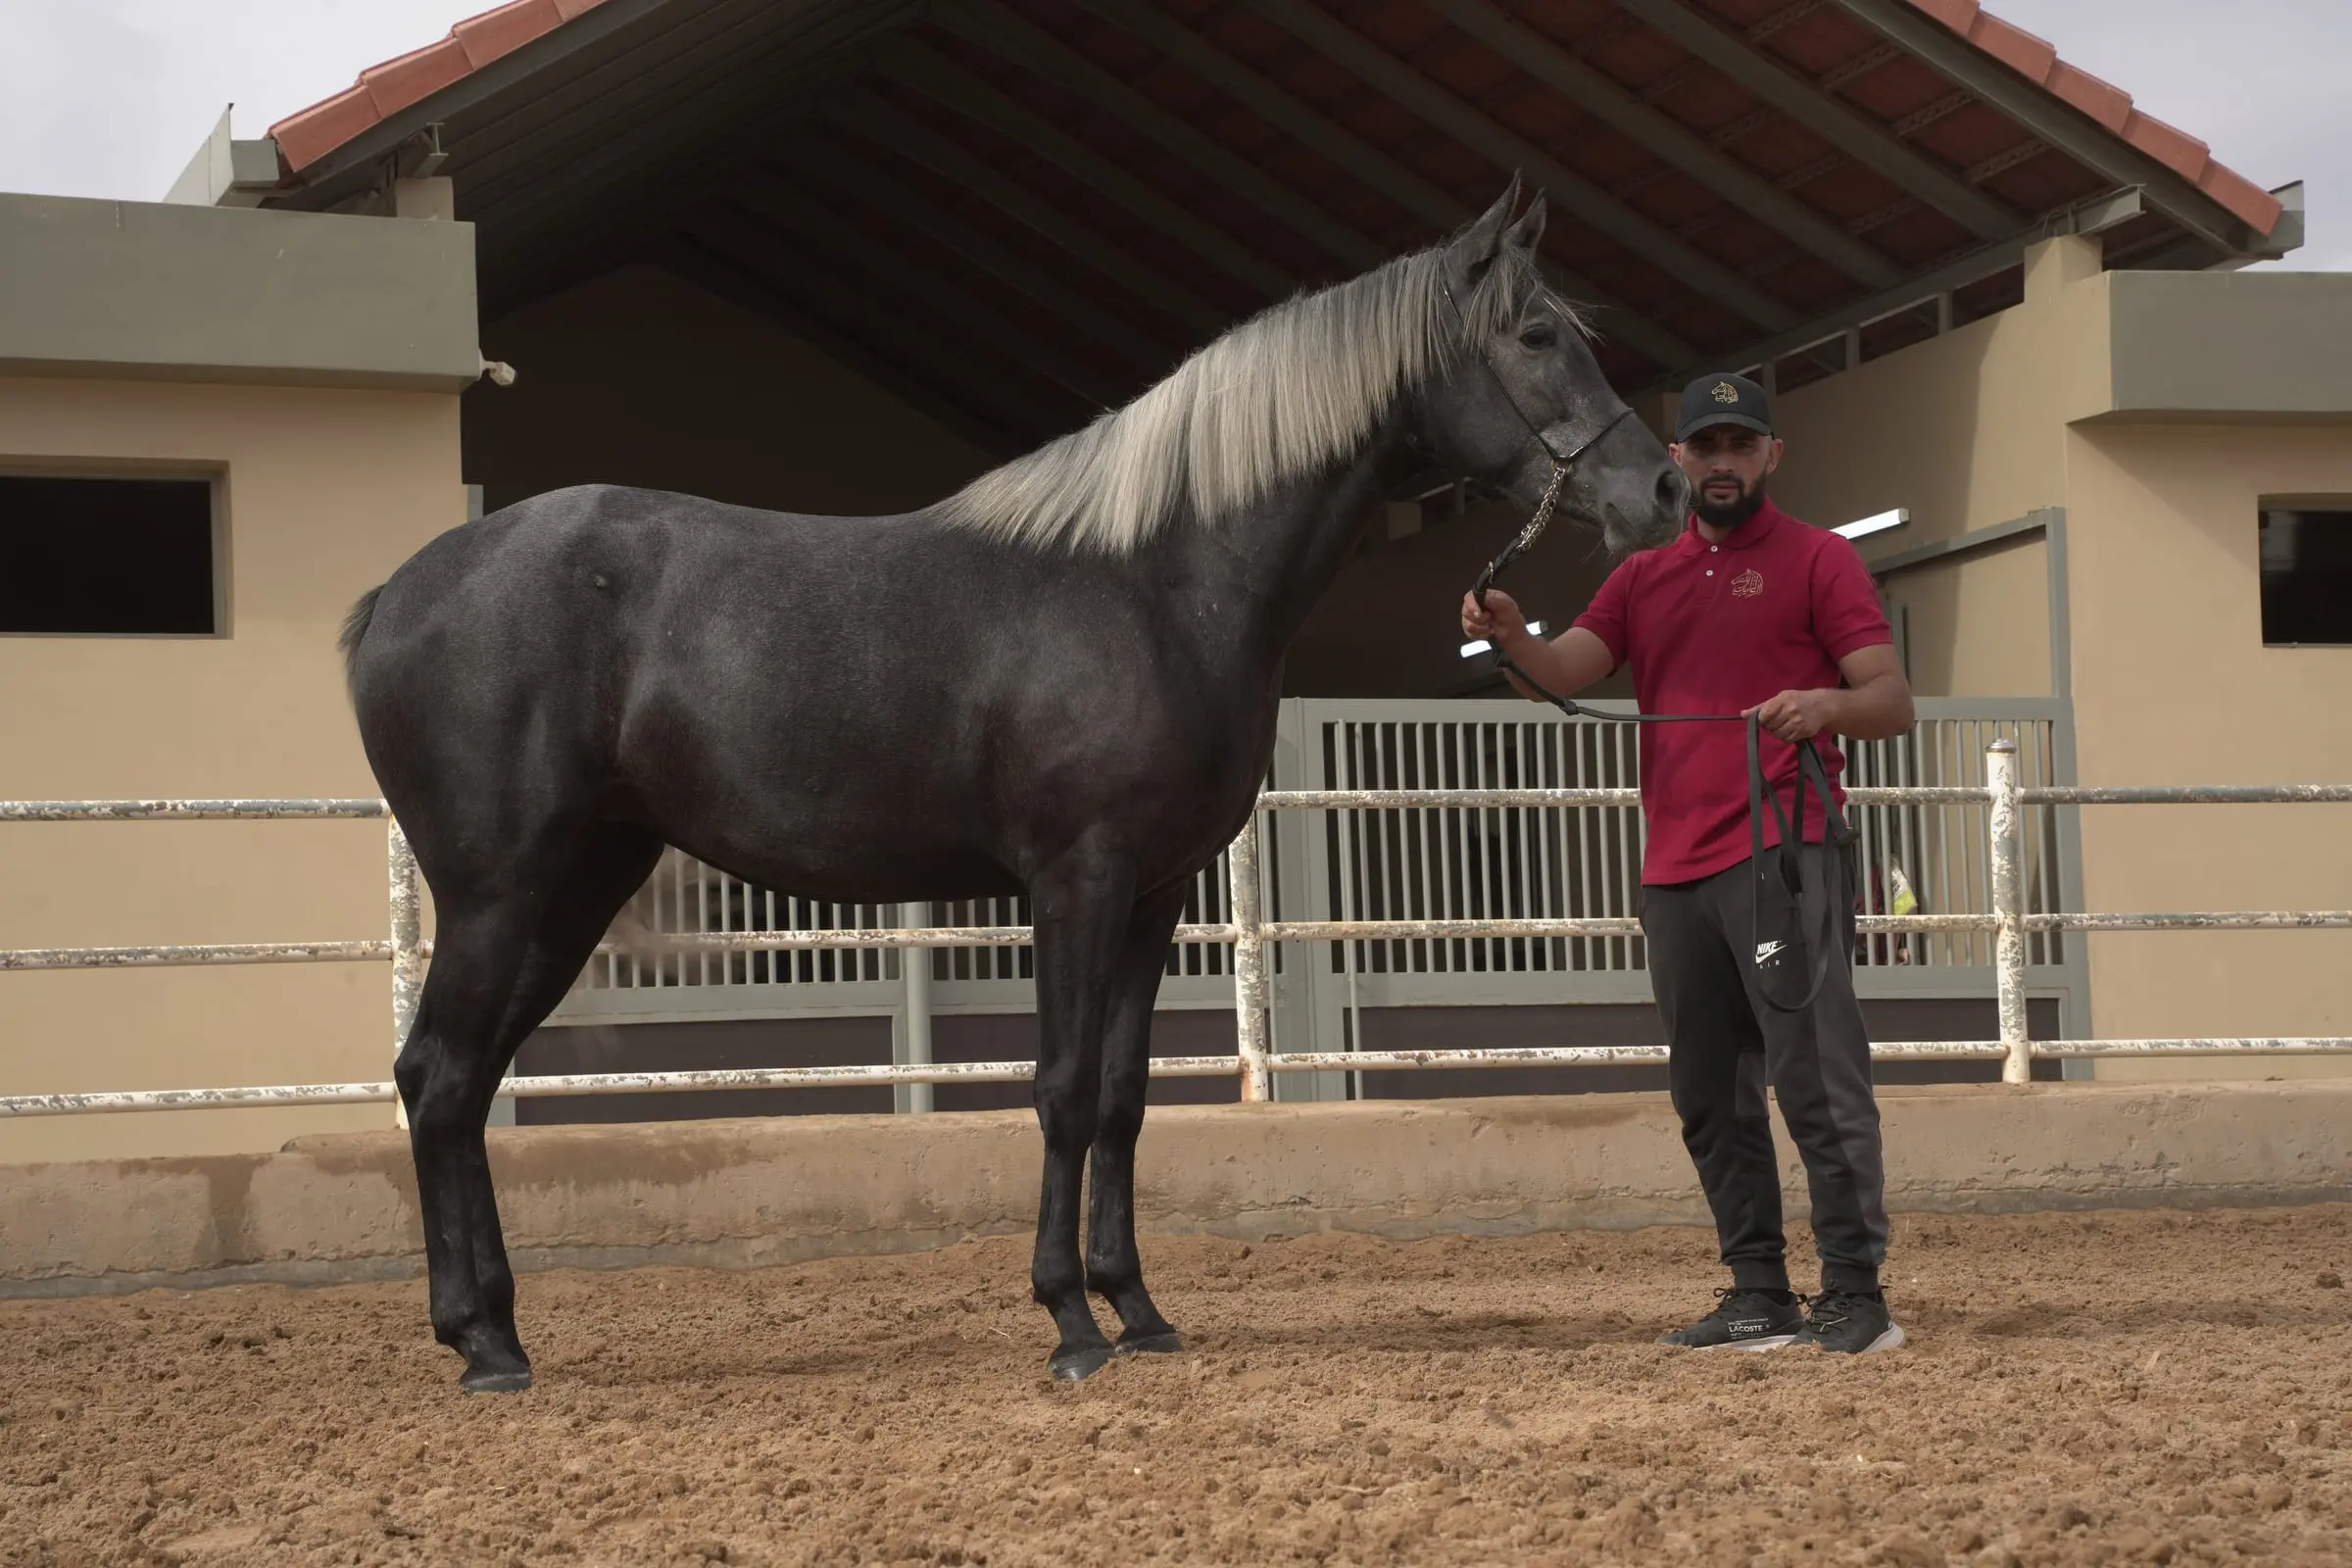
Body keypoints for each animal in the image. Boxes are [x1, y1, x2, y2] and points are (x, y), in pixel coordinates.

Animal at [339, 176, 1688, 1392]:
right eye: (1536, 335)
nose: (1665, 490)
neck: (1158, 580)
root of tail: (397, 591)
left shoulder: (1156, 893)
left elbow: (1127, 1096)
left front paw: (1136, 1308)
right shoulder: (1074, 880)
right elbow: (1063, 1089)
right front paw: (1070, 1322)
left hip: (574, 885)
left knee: (457, 1079)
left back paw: (492, 1327)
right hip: (501, 891)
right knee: (443, 1075)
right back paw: (484, 1348)